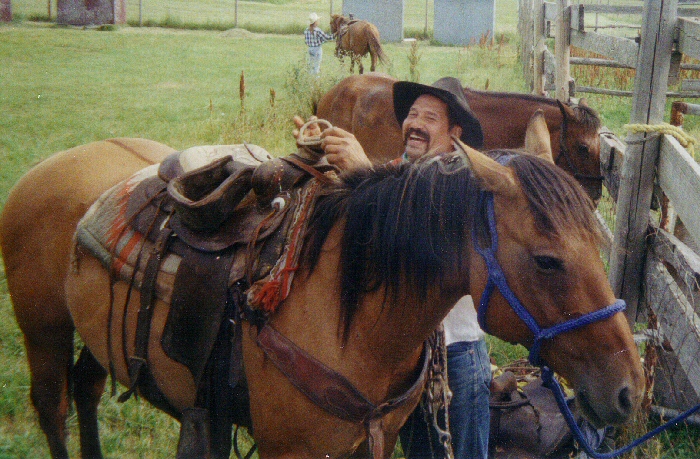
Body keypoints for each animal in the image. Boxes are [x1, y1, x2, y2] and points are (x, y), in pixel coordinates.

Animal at [1, 117, 644, 458]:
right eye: (547, 261)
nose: (629, 391)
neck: (348, 319)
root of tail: (45, 169)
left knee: (86, 388)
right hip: (44, 331)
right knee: (54, 405)